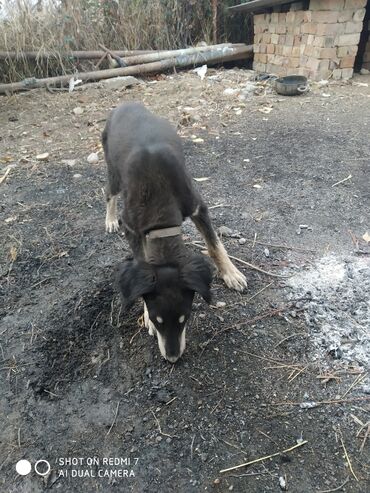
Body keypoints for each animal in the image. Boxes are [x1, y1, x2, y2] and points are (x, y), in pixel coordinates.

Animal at [102, 102, 247, 362]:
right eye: (157, 320)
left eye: (185, 318)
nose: (172, 358)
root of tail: (125, 104)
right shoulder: (131, 228)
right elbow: (141, 261)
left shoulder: (198, 207)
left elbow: (215, 245)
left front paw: (231, 273)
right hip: (113, 172)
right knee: (108, 192)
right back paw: (109, 219)